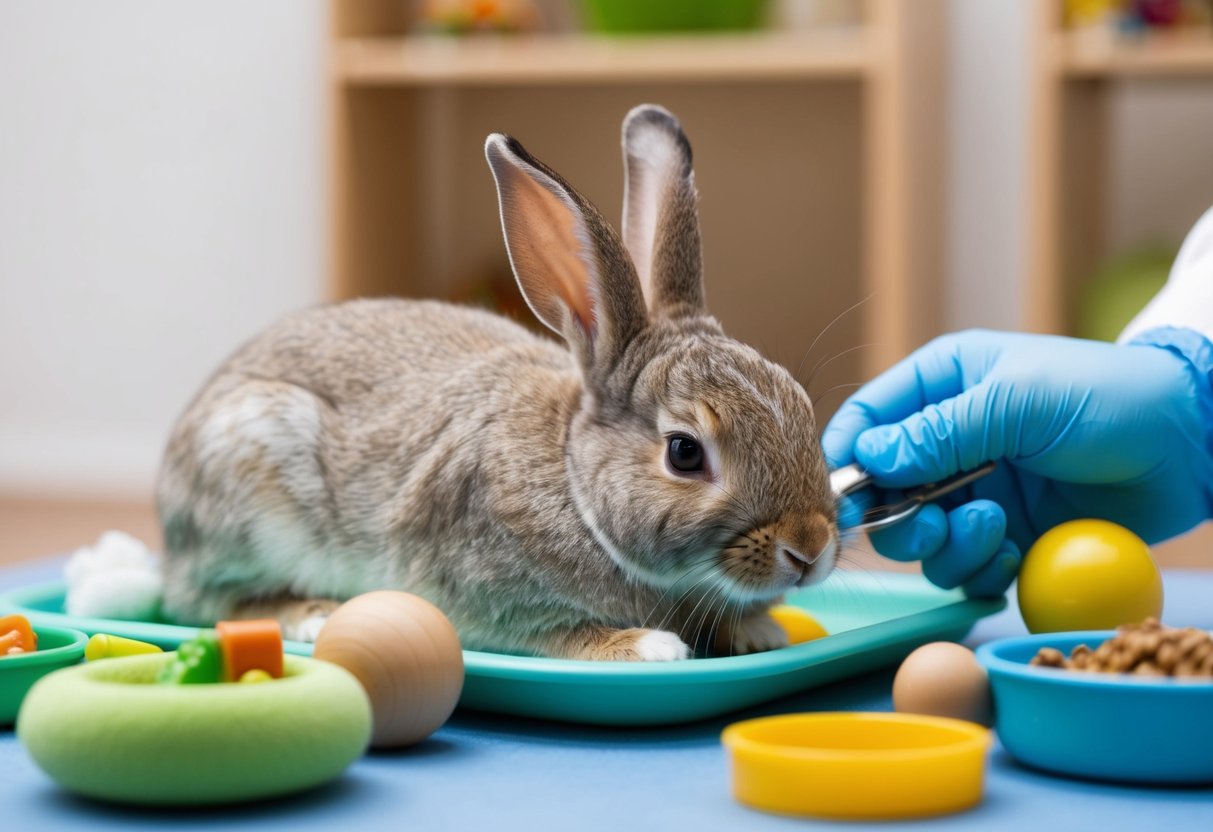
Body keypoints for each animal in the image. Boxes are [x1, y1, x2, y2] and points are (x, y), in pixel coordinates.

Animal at [156, 104, 839, 659]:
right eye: (684, 453)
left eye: (803, 408)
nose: (808, 550)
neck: (575, 485)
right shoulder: (489, 594)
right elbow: (556, 632)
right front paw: (647, 646)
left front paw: (758, 632)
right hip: (251, 478)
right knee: (210, 604)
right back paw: (312, 615)